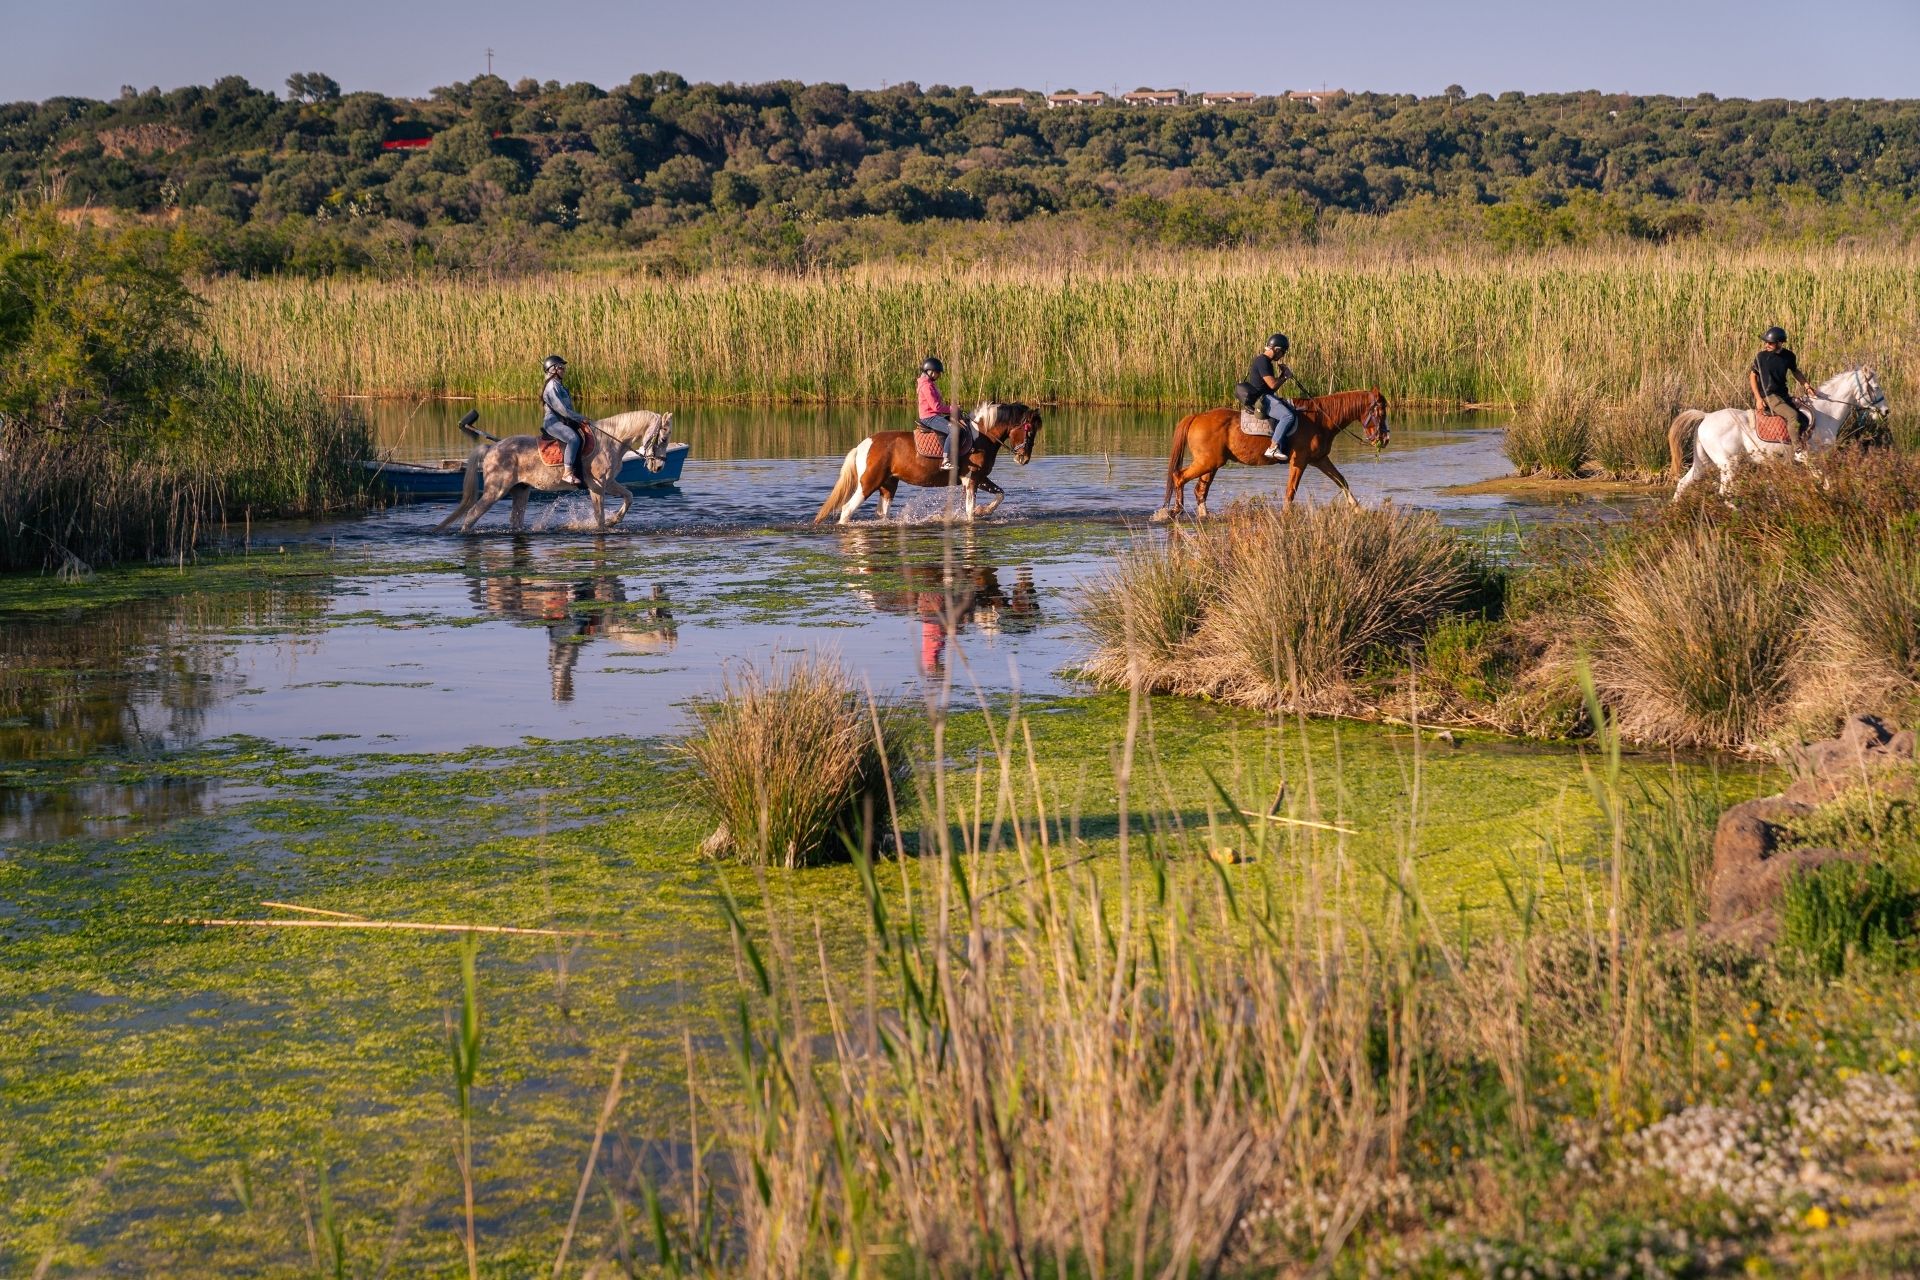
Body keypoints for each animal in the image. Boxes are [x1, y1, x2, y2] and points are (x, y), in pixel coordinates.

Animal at [435, 410, 674, 534]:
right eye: (663, 438)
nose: (659, 466)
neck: (610, 441)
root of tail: (491, 448)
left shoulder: (610, 483)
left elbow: (629, 496)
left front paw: (614, 521)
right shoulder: (597, 486)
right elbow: (598, 517)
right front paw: (604, 526)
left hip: (520, 491)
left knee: (515, 521)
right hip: (495, 491)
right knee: (472, 515)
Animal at [812, 402, 1043, 525]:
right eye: (1029, 430)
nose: (1023, 459)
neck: (982, 435)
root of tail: (863, 445)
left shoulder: (980, 478)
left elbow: (1000, 494)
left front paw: (983, 511)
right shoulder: (971, 479)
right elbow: (969, 511)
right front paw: (976, 513)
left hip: (888, 485)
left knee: (882, 513)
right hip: (868, 484)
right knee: (846, 510)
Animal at [1152, 390, 1389, 521]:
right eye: (1380, 411)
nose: (1385, 439)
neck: (1321, 419)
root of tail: (1197, 416)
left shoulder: (1320, 460)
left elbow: (1342, 481)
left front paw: (1358, 509)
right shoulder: (1300, 461)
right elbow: (1291, 490)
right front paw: (1286, 515)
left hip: (1212, 464)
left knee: (1200, 490)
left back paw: (1203, 516)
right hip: (1208, 462)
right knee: (1179, 477)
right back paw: (1175, 511)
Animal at [1668, 367, 1890, 499]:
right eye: (1876, 387)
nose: (1886, 411)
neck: (1826, 412)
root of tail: (1705, 417)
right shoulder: (1809, 458)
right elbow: (1825, 481)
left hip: (1703, 463)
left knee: (1683, 484)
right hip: (1728, 465)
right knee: (1725, 493)